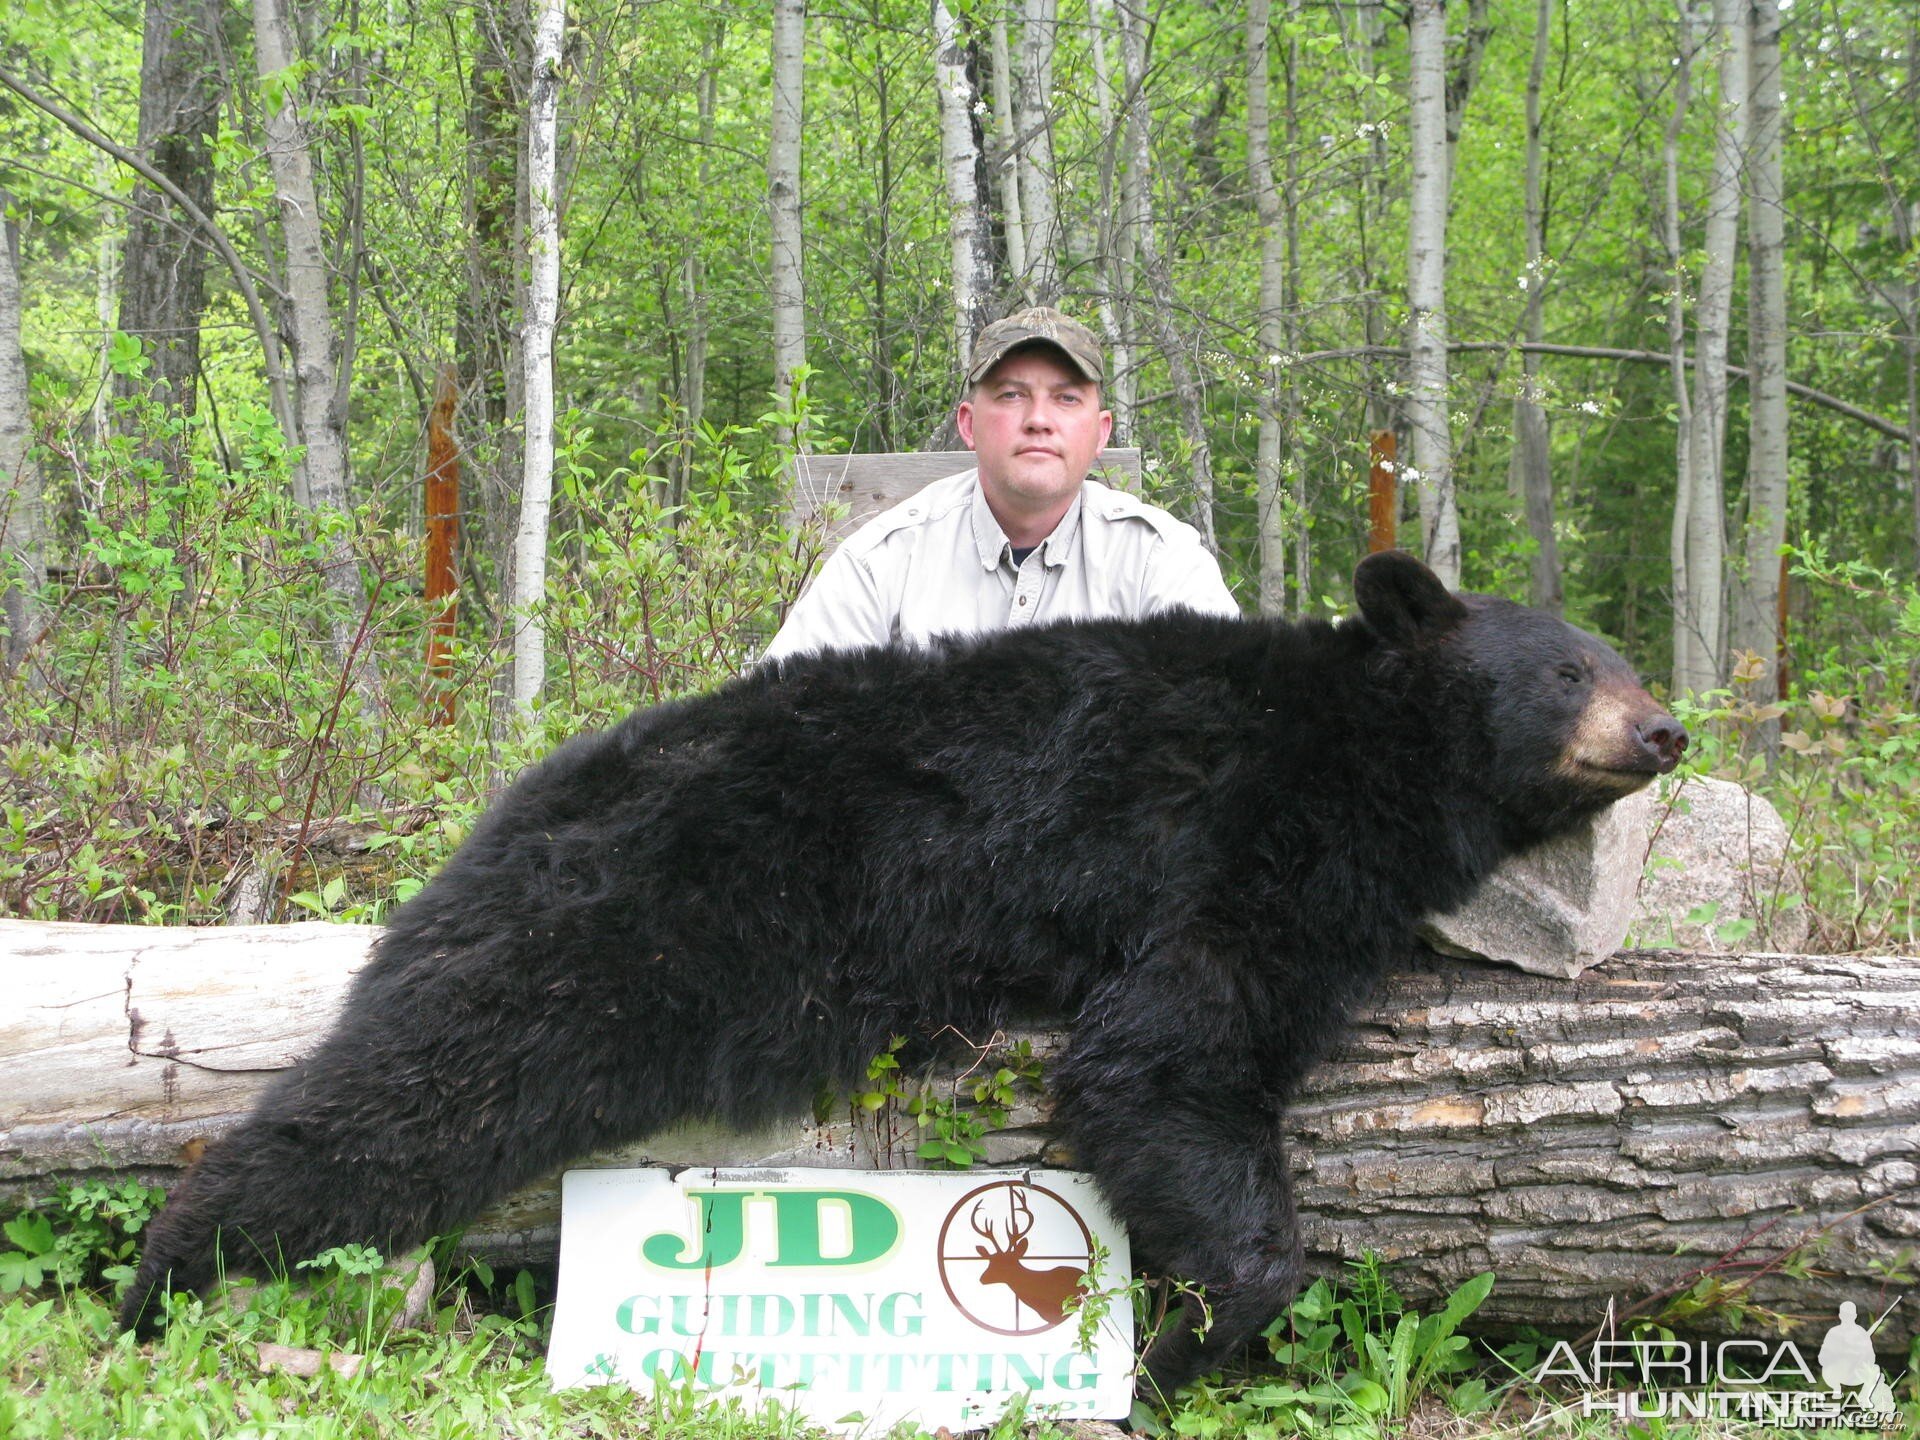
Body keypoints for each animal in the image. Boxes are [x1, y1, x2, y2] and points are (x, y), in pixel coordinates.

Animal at [123, 556, 1681, 1397]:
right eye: (1565, 669)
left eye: (1623, 654)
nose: (1665, 728)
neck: (1363, 744)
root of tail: (522, 804)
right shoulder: (1245, 837)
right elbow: (1169, 1051)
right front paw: (1186, 1338)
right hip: (634, 928)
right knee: (426, 1082)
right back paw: (164, 1275)